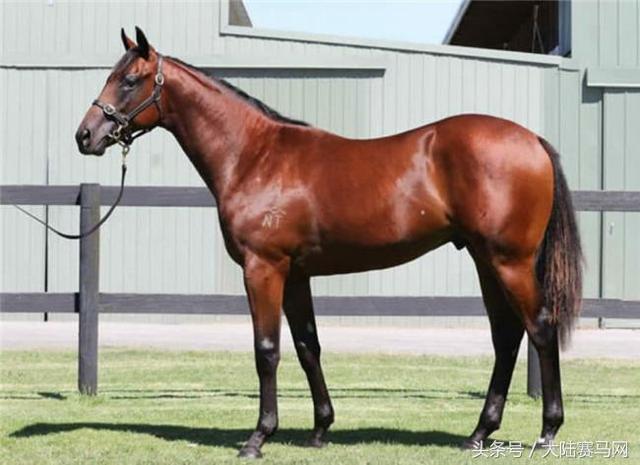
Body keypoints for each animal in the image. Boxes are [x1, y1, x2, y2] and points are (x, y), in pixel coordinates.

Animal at [75, 28, 582, 458]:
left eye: (130, 80)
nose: (85, 135)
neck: (255, 156)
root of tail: (532, 140)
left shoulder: (263, 268)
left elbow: (267, 350)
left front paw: (258, 437)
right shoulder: (297, 274)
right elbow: (307, 347)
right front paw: (320, 428)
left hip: (509, 261)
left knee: (539, 328)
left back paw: (547, 431)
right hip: (484, 259)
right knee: (506, 336)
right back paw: (479, 432)